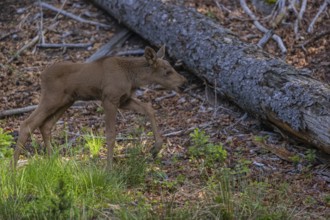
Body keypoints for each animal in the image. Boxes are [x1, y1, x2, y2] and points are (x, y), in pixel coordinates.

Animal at [12, 45, 187, 168]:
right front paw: (108, 169)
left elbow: (149, 108)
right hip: (51, 98)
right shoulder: (109, 99)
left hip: (66, 101)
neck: (132, 77)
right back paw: (13, 169)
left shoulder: (124, 100)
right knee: (27, 123)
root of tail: (41, 75)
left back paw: (53, 161)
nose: (184, 83)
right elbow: (110, 134)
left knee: (45, 125)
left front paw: (156, 148)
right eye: (167, 72)